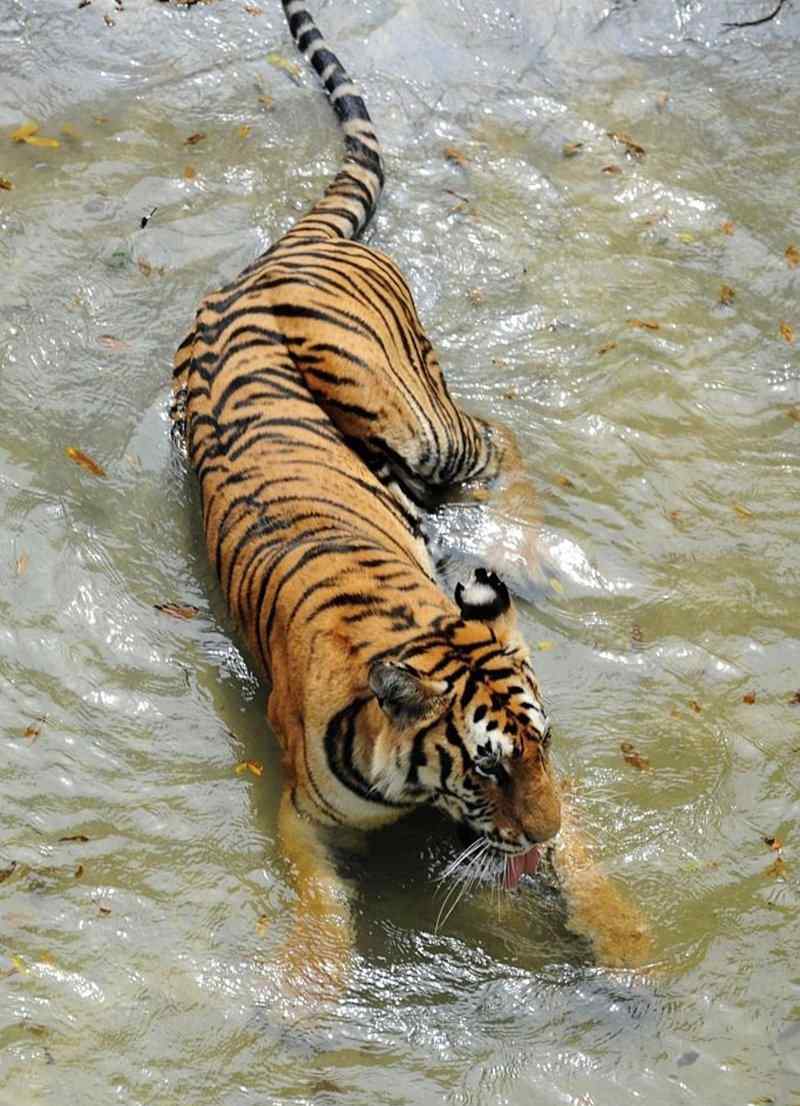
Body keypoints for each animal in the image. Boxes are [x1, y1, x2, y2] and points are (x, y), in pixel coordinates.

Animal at [173, 0, 564, 986]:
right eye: (487, 769)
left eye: (541, 748)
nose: (545, 829)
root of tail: (286, 246)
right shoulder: (304, 819)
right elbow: (322, 909)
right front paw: (312, 994)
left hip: (412, 416)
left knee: (498, 434)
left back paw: (529, 549)